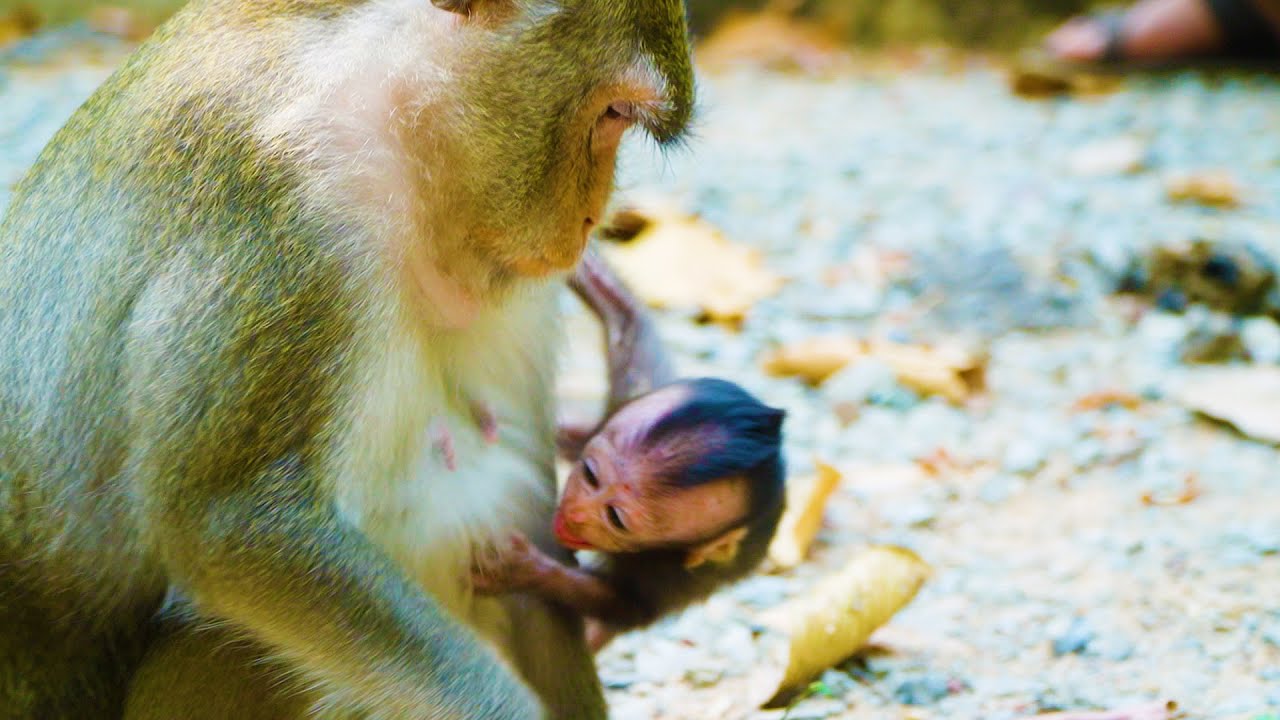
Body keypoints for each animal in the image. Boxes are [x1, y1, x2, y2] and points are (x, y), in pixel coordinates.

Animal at [472, 250, 787, 653]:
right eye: (591, 475)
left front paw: (523, 570)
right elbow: (627, 319)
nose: (576, 513)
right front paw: (586, 266)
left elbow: (624, 606)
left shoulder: (667, 572)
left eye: (615, 518)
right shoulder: (635, 394)